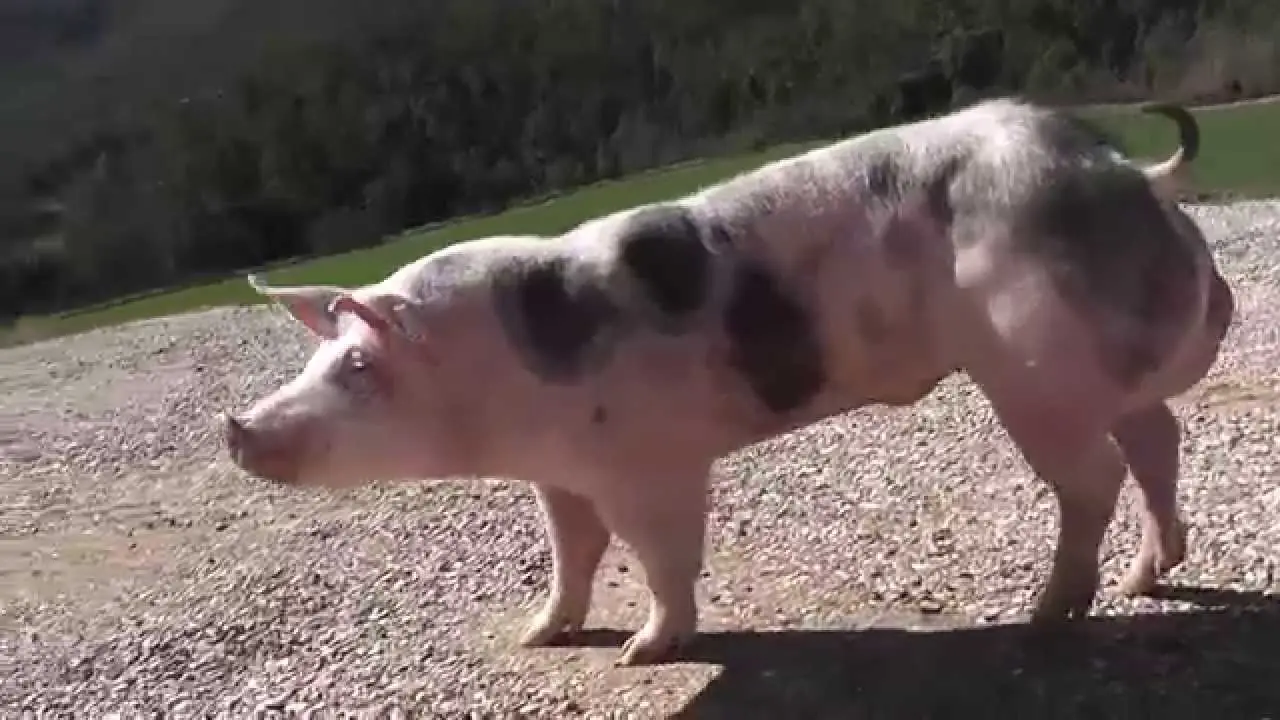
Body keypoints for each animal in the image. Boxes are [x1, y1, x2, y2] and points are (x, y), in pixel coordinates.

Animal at [223, 97, 1235, 666]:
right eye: (316, 359)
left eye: (359, 366)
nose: (236, 426)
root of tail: (1122, 168)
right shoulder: (561, 473)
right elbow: (572, 552)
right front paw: (540, 634)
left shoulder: (649, 462)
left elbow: (660, 555)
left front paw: (641, 656)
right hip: (1090, 363)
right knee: (1156, 439)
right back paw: (1147, 579)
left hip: (1028, 362)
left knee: (1096, 474)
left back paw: (1045, 614)